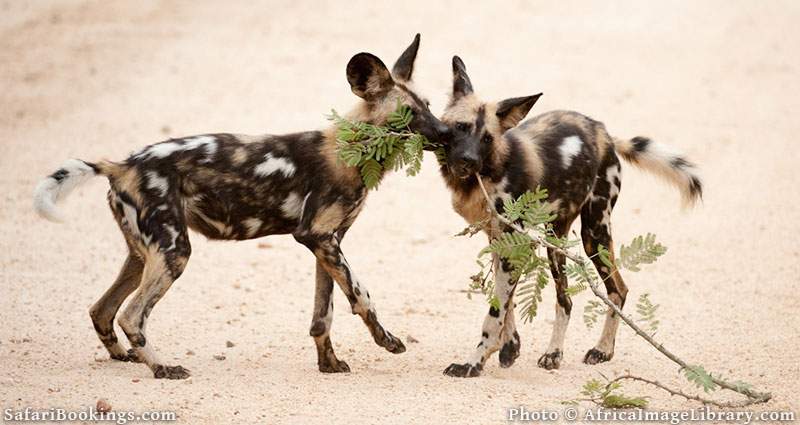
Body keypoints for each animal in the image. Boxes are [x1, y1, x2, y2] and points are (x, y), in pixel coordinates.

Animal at [32, 34, 450, 378]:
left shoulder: (327, 242)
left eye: (429, 106)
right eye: (409, 115)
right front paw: (387, 341)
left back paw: (128, 357)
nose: (447, 131)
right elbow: (362, 297)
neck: (351, 152)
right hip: (174, 251)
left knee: (103, 310)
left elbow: (324, 314)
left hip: (143, 254)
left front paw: (328, 364)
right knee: (133, 316)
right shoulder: (317, 237)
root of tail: (123, 165)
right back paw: (164, 368)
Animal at [438, 56, 700, 378]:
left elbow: (494, 314)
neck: (487, 173)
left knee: (615, 290)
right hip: (557, 240)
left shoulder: (517, 245)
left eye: (487, 138)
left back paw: (597, 350)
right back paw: (556, 352)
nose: (469, 161)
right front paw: (509, 347)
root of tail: (604, 134)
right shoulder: (501, 243)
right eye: (460, 128)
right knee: (567, 300)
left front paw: (473, 362)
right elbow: (505, 304)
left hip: (593, 235)